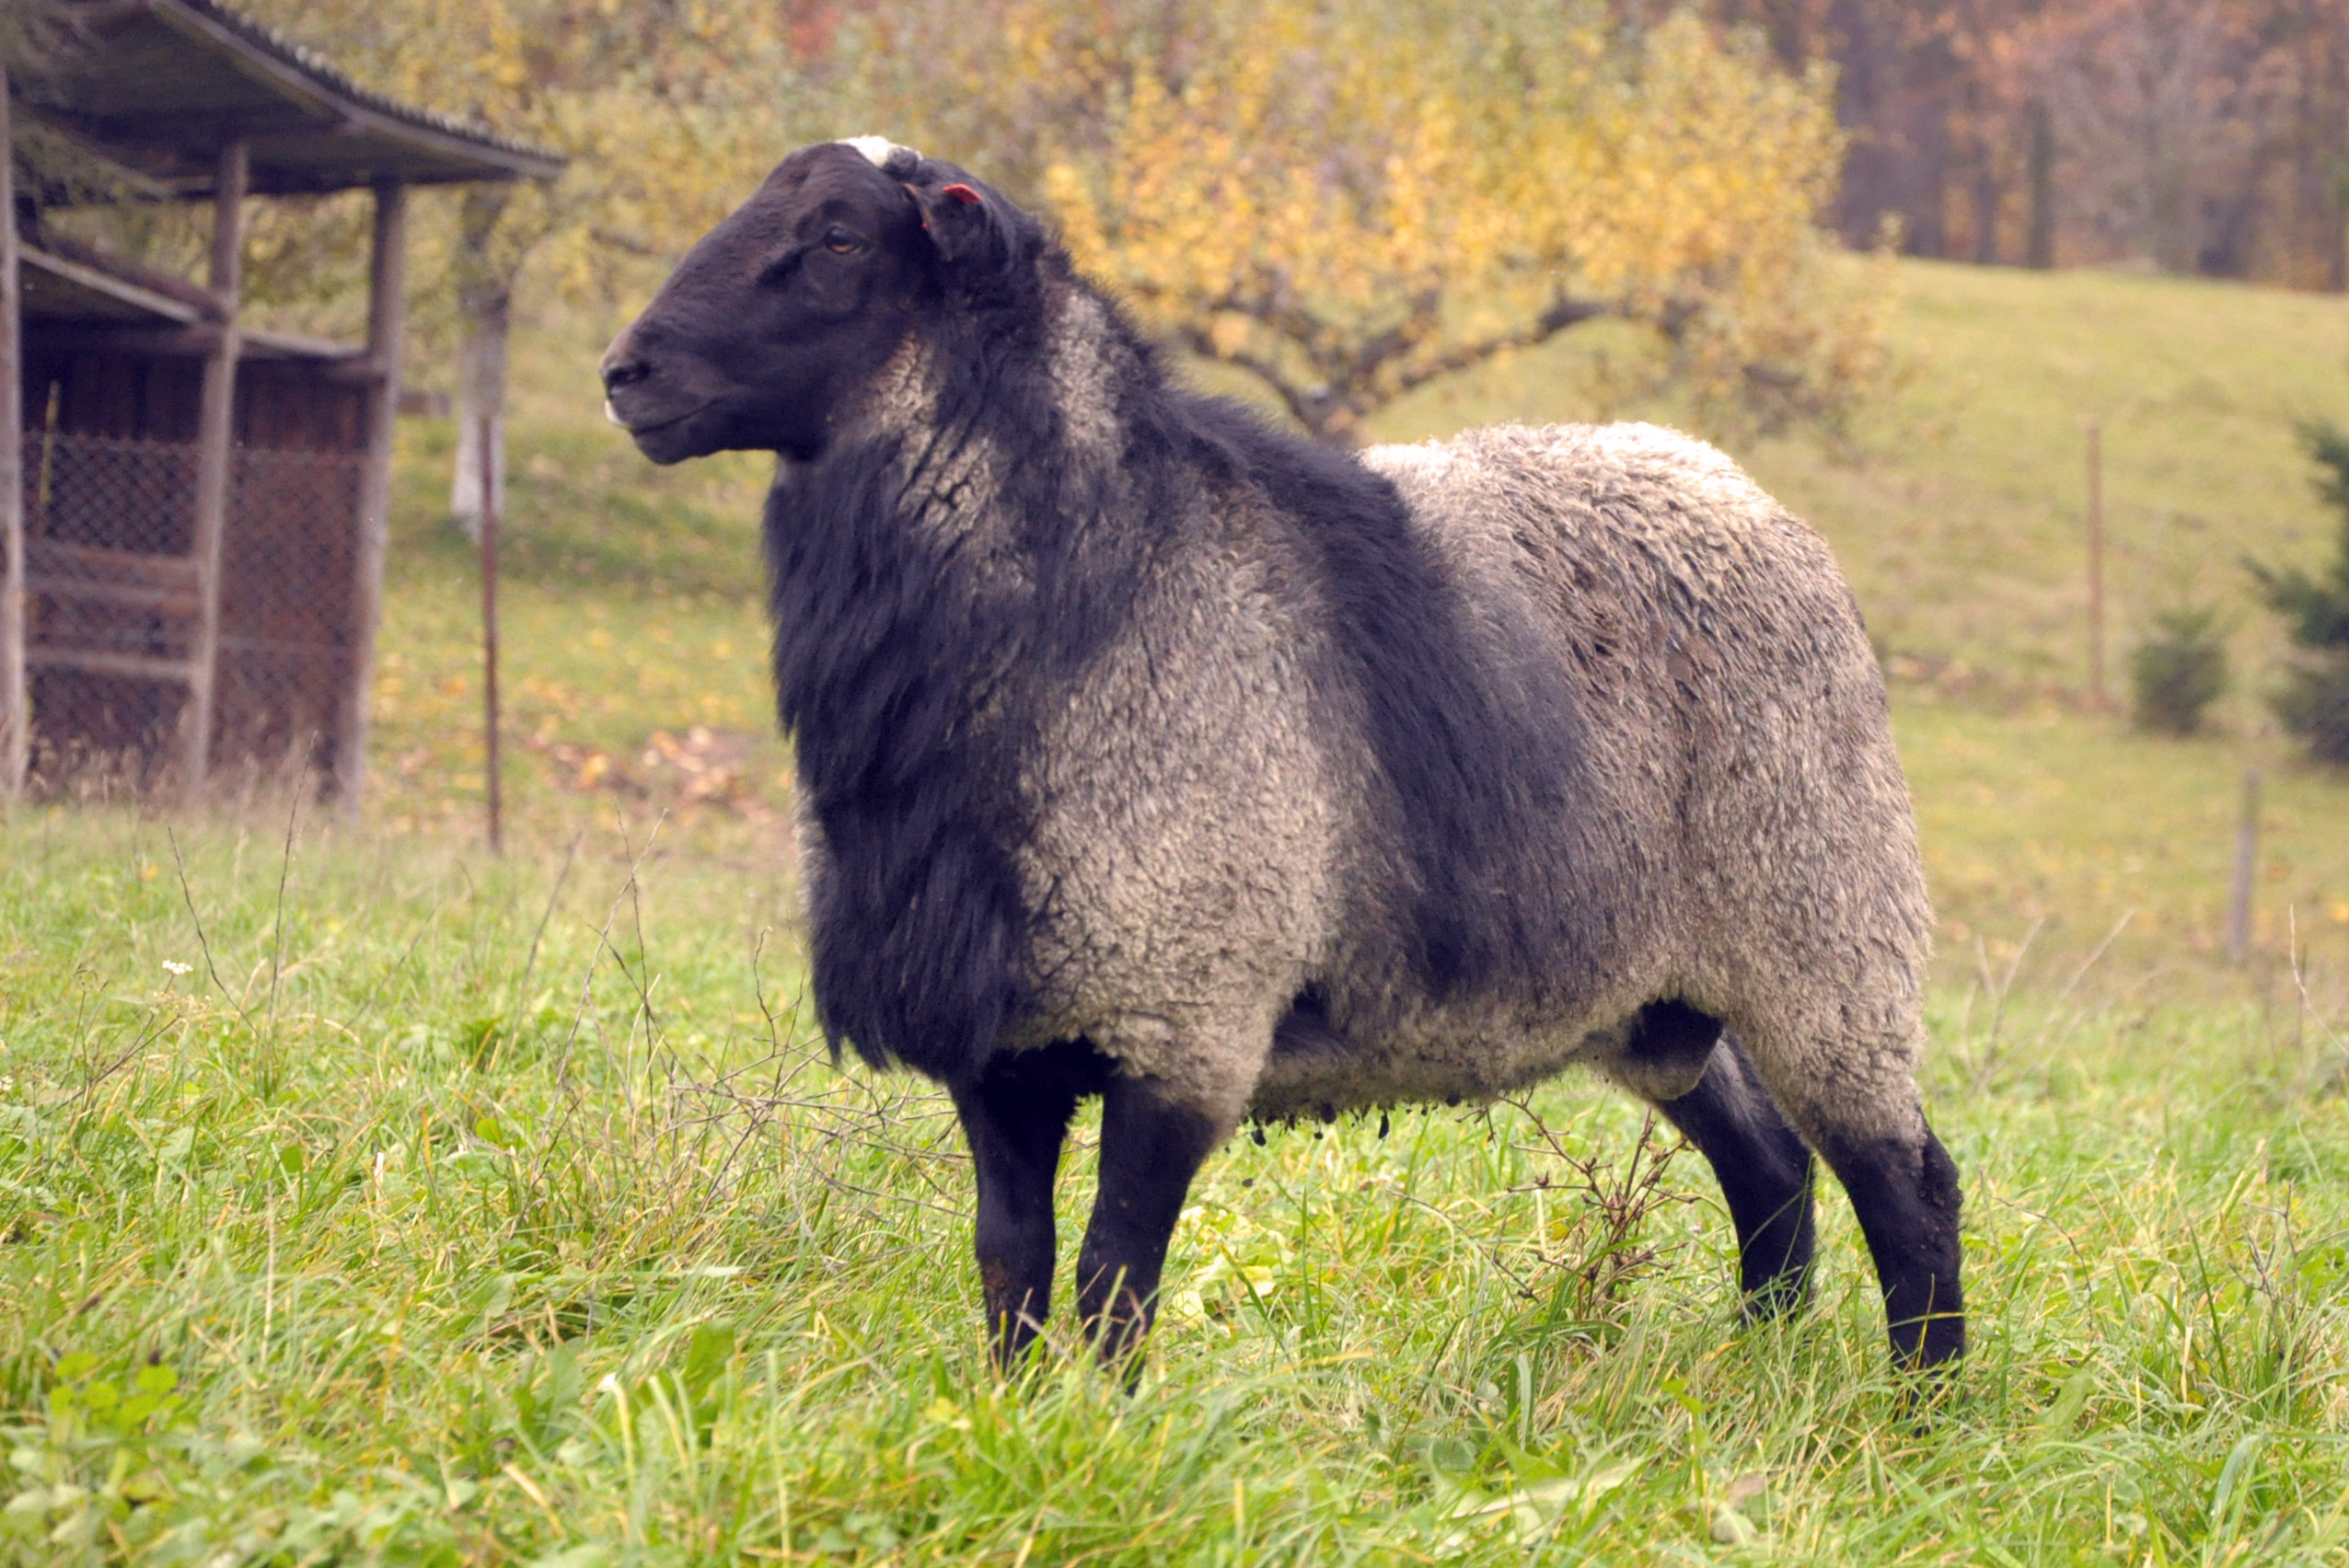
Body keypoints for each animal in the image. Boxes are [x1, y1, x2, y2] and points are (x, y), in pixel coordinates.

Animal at [599, 138, 1965, 1378]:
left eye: (839, 240)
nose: (627, 374)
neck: (1104, 581)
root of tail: (1741, 491)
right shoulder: (1002, 1043)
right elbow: (1009, 1266)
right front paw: (1010, 1418)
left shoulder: (1186, 1017)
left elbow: (1110, 1280)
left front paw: (1096, 1435)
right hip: (1658, 993)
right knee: (1770, 1168)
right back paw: (1751, 1374)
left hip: (1822, 935)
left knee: (1909, 1183)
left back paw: (1918, 1411)